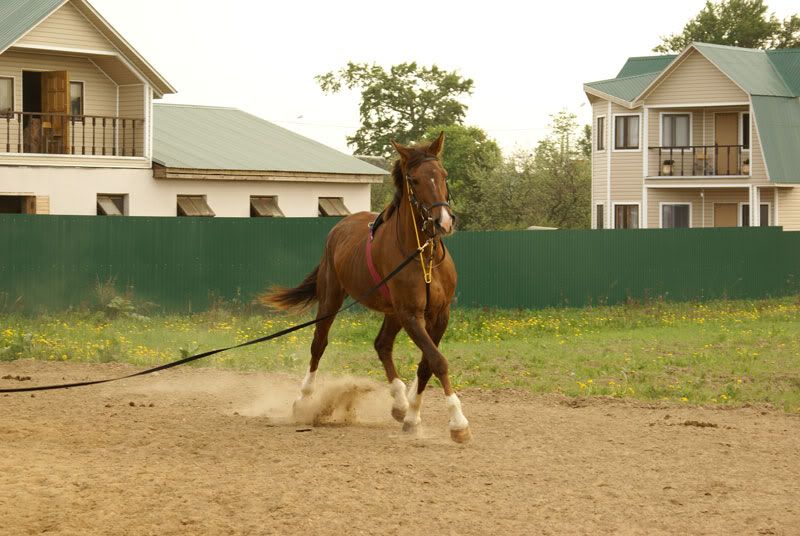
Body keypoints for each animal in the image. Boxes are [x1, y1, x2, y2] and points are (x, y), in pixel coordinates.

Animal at [266, 132, 472, 442]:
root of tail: (339, 228)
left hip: (392, 312)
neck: (422, 254)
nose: (443, 221)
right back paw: (303, 400)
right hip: (332, 298)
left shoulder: (439, 315)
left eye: (443, 175)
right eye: (414, 180)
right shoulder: (412, 315)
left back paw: (400, 403)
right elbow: (437, 362)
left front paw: (412, 417)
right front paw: (458, 423)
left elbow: (426, 365)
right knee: (319, 344)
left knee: (382, 344)